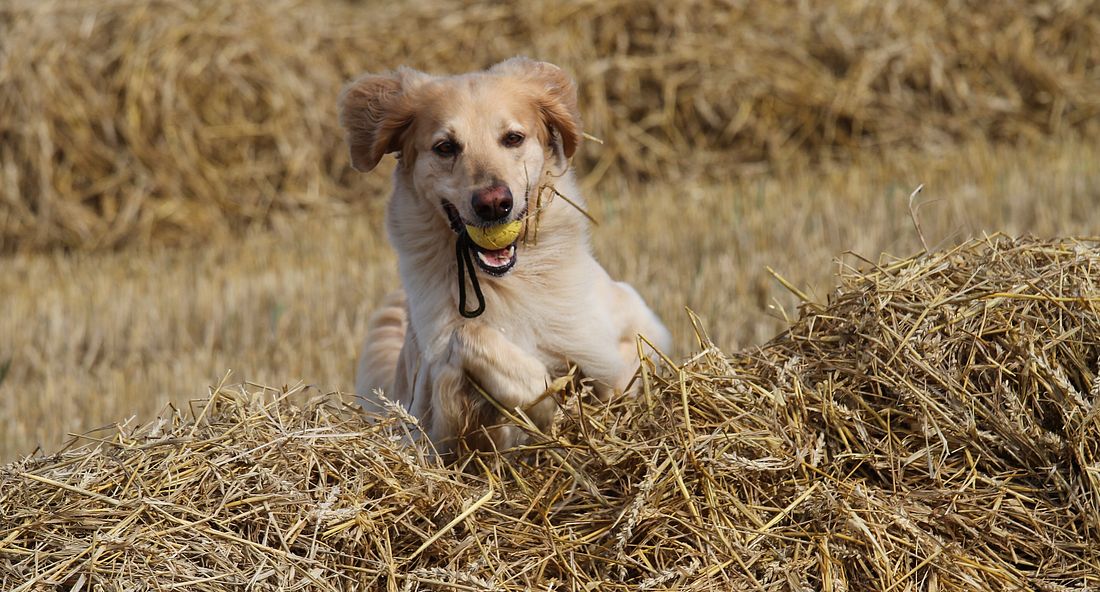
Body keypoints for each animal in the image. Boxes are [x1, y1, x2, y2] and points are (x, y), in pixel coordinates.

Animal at [340, 57, 671, 456]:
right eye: (445, 147)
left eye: (513, 138)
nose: (494, 204)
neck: (510, 282)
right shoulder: (431, 421)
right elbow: (472, 336)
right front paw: (546, 404)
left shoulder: (629, 338)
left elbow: (622, 372)